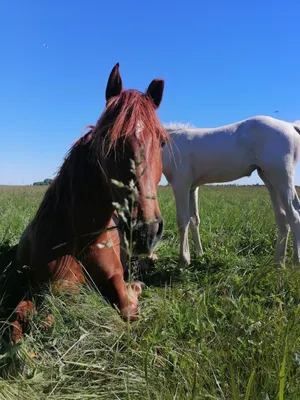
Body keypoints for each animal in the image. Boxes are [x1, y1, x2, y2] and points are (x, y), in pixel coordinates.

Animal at [7, 63, 168, 344]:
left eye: (161, 142)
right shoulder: (34, 288)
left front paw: (136, 287)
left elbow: (127, 306)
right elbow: (16, 322)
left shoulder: (115, 275)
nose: (146, 230)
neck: (74, 238)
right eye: (108, 141)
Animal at [163, 115, 300, 266]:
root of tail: (291, 126)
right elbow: (194, 220)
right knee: (283, 218)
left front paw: (184, 260)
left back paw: (295, 261)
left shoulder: (181, 185)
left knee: (294, 216)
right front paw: (200, 255)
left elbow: (182, 221)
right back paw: (279, 263)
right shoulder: (192, 188)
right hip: (270, 180)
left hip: (282, 179)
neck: (172, 142)